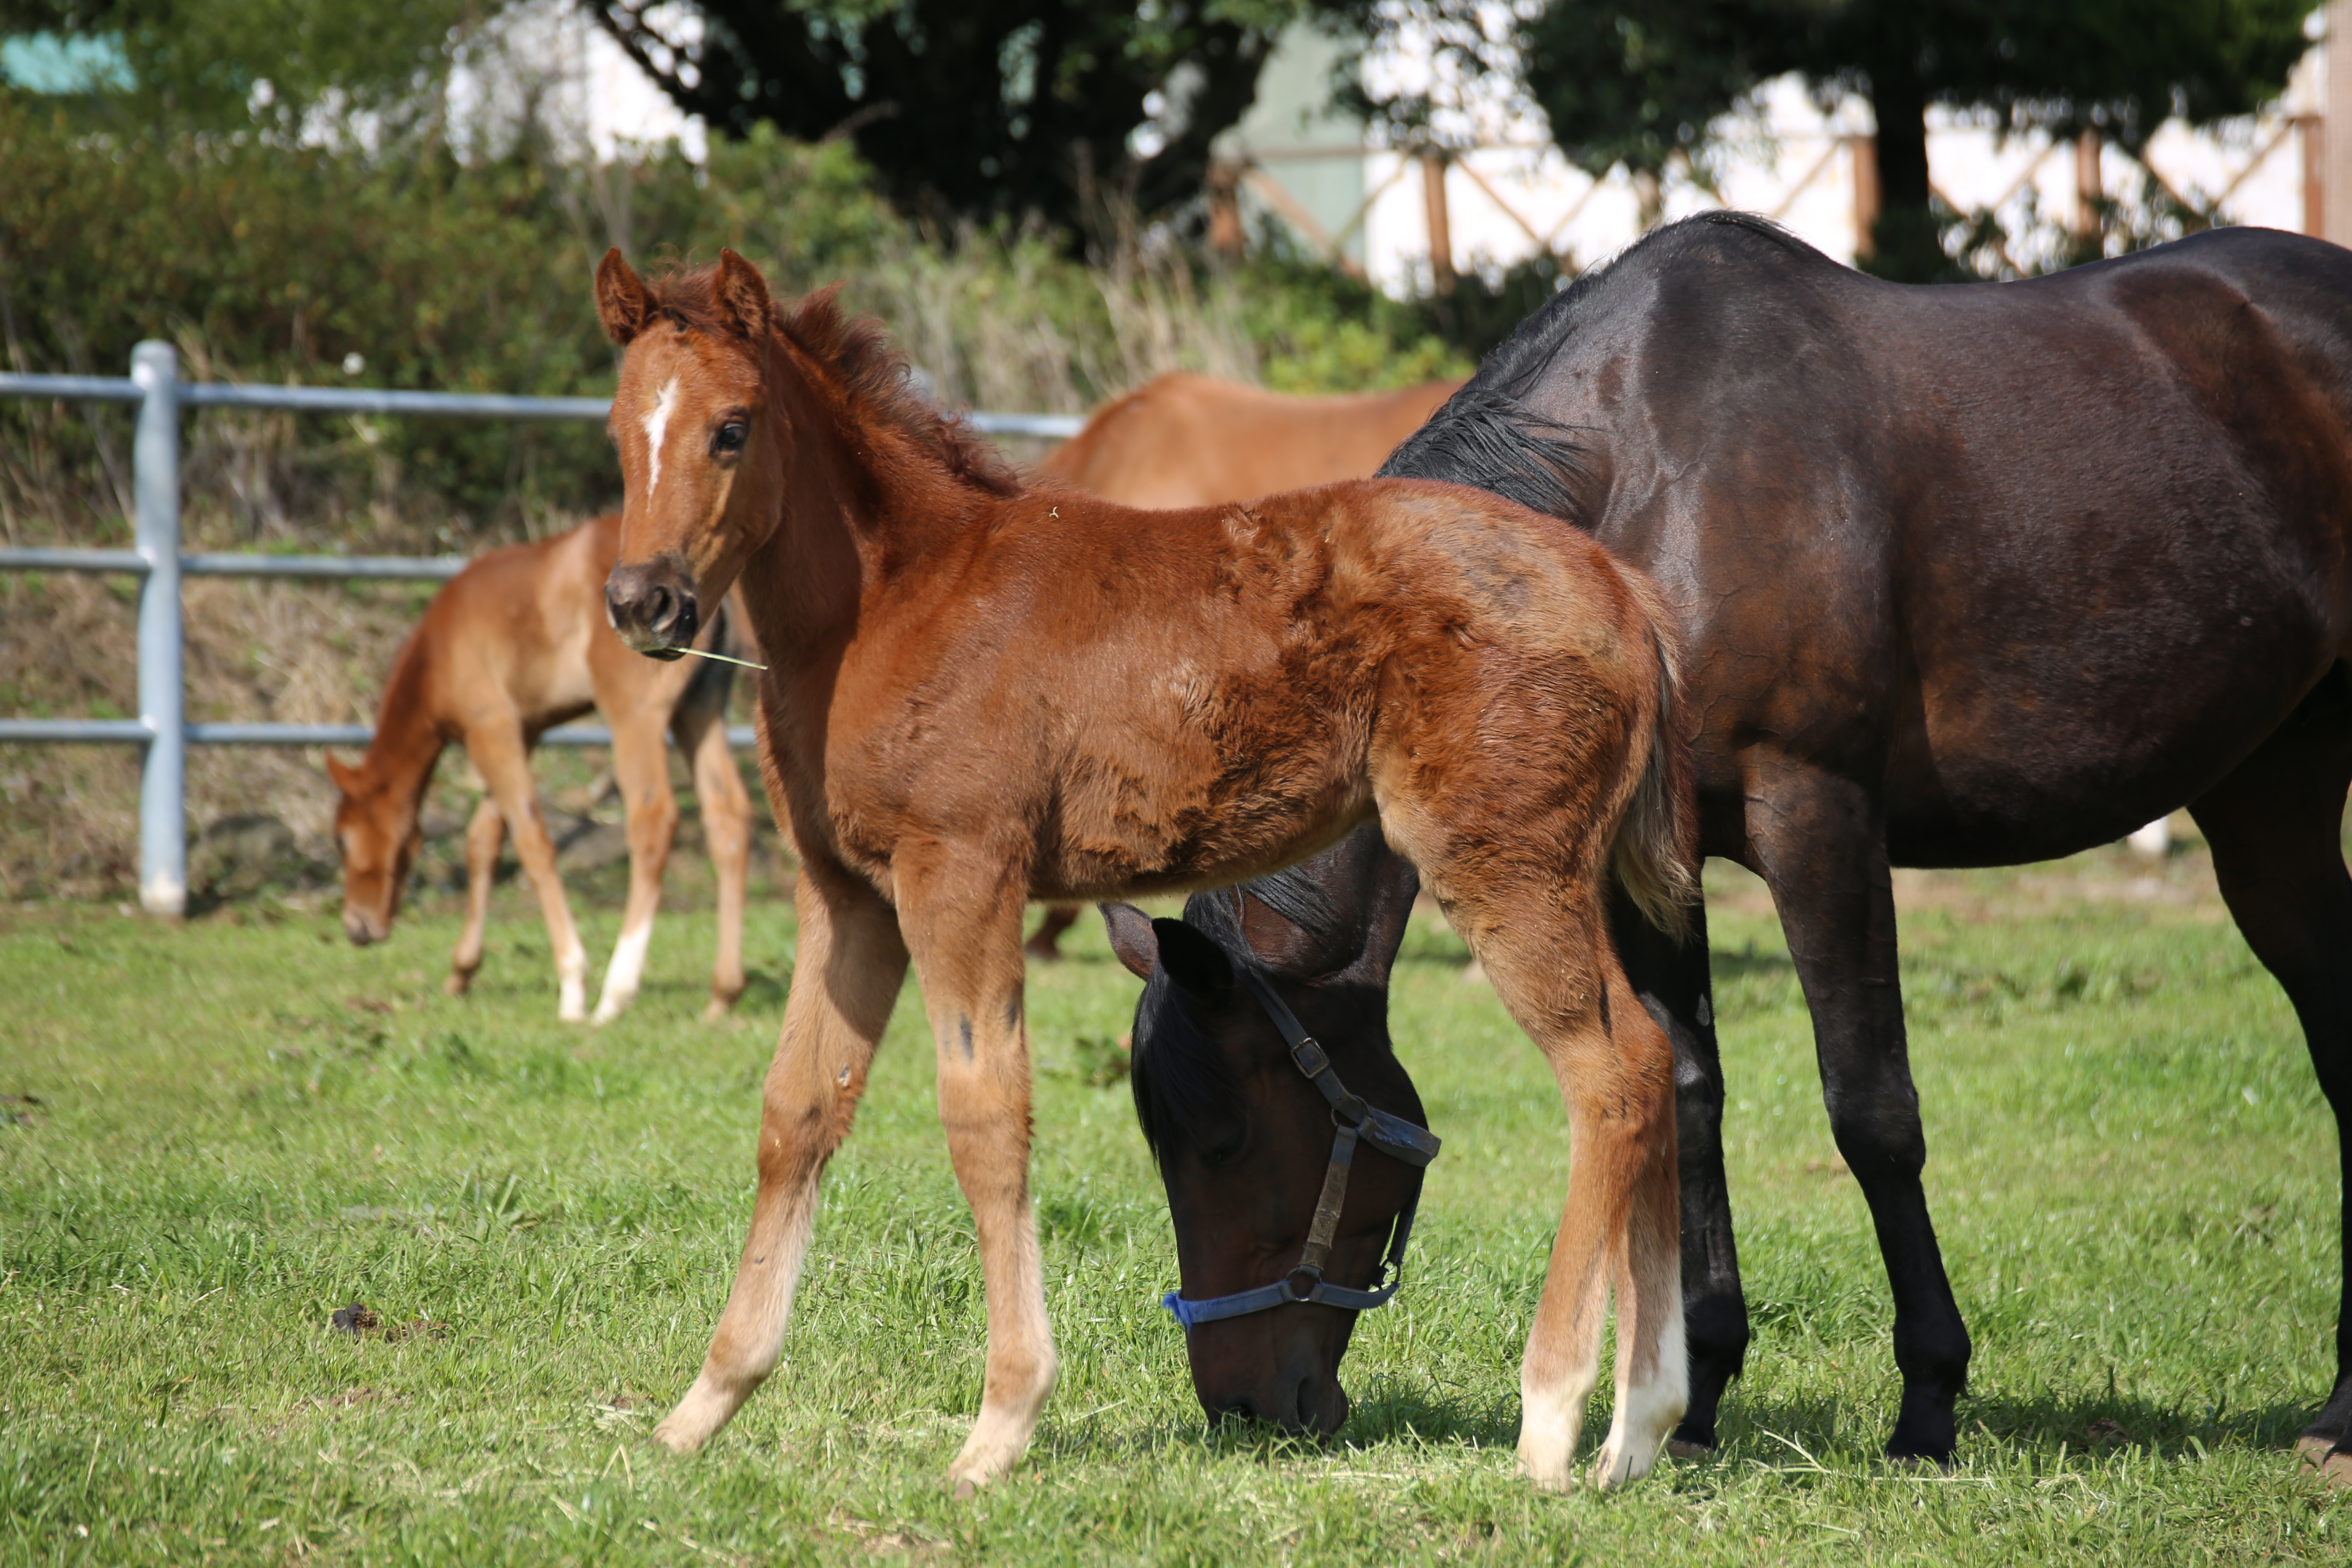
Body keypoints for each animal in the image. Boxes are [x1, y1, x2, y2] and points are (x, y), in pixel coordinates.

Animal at [327, 512, 748, 1029]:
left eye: (343, 839)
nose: (356, 927)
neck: (438, 648)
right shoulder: (521, 736)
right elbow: (483, 842)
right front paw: (462, 971)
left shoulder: (492, 732)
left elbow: (531, 842)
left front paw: (572, 985)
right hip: (699, 712)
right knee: (728, 817)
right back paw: (724, 992)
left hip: (635, 716)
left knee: (654, 821)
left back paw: (616, 993)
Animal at [588, 248, 1693, 1495]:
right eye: (622, 431)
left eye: (732, 430)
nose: (644, 601)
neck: (892, 603)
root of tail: (1621, 593)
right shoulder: (848, 897)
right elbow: (796, 1116)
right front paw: (702, 1407)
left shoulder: (961, 873)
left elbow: (984, 1118)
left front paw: (999, 1424)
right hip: (1569, 875)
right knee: (1657, 1056)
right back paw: (1639, 1424)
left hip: (1505, 866)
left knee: (1608, 1074)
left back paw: (1552, 1422)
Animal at [1119, 212, 2352, 1486]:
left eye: (1224, 1140)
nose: (1243, 1406)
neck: (1649, 489)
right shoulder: (1645, 873)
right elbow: (1687, 1094)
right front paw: (1695, 1396)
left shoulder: (1815, 815)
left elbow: (1870, 1110)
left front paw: (1927, 1402)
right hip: (2268, 796)